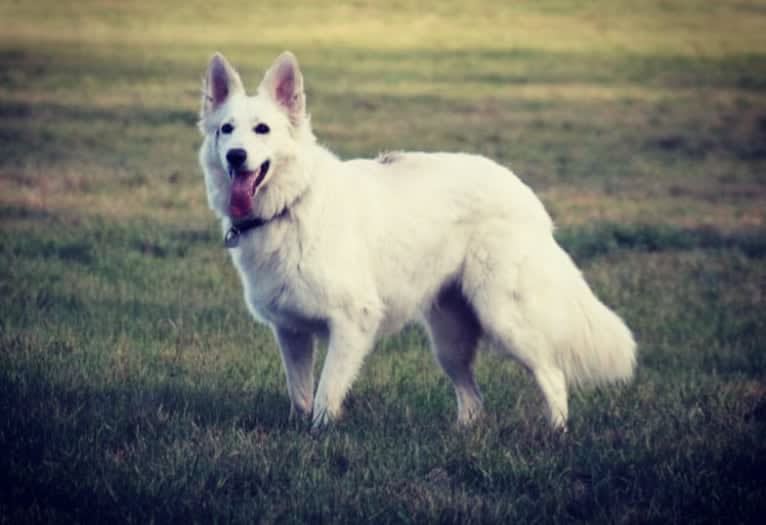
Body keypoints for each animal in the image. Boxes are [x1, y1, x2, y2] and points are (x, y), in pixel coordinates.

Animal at [196, 51, 636, 430]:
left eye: (262, 130)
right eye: (226, 130)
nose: (236, 156)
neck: (292, 203)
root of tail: (522, 190)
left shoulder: (351, 324)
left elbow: (325, 395)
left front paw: (319, 435)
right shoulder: (291, 332)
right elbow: (301, 395)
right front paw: (300, 430)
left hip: (504, 318)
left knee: (552, 374)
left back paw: (556, 433)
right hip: (449, 340)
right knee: (473, 399)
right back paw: (464, 433)